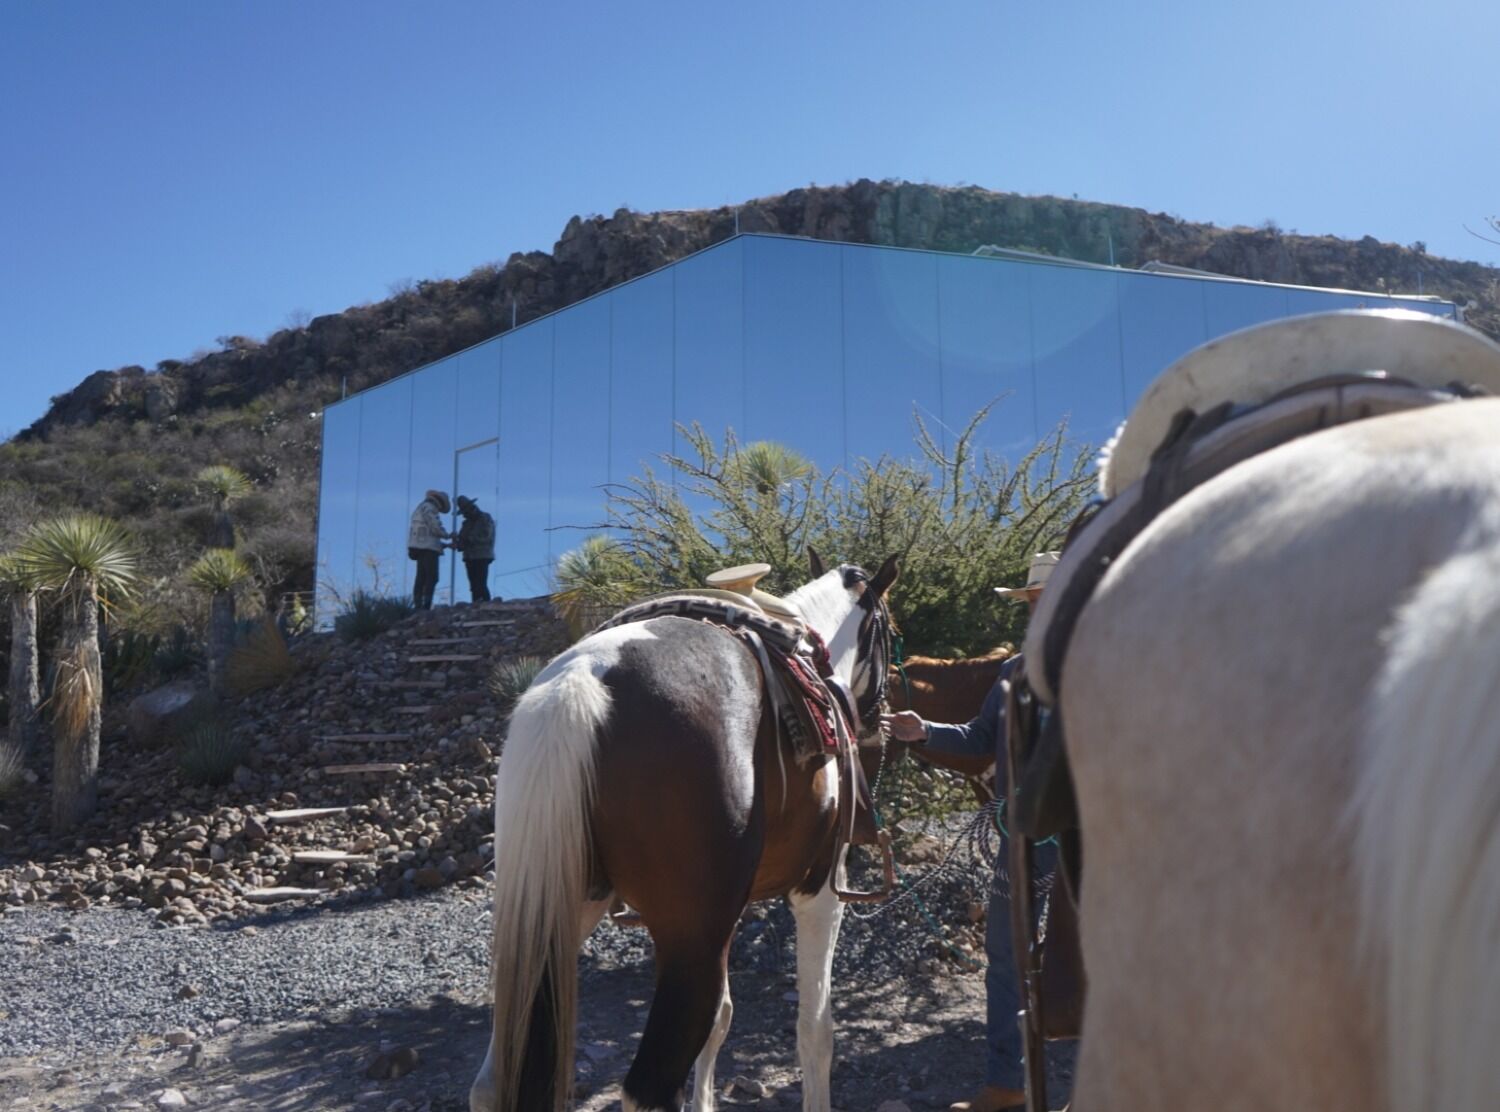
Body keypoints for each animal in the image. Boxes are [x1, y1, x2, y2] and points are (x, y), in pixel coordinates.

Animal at [471, 552, 888, 1110]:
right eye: (887, 628)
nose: (877, 717)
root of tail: (581, 686)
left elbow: (722, 1020)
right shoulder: (818, 891)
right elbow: (815, 1033)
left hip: (562, 915)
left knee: (491, 1081)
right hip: (688, 939)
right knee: (646, 1087)